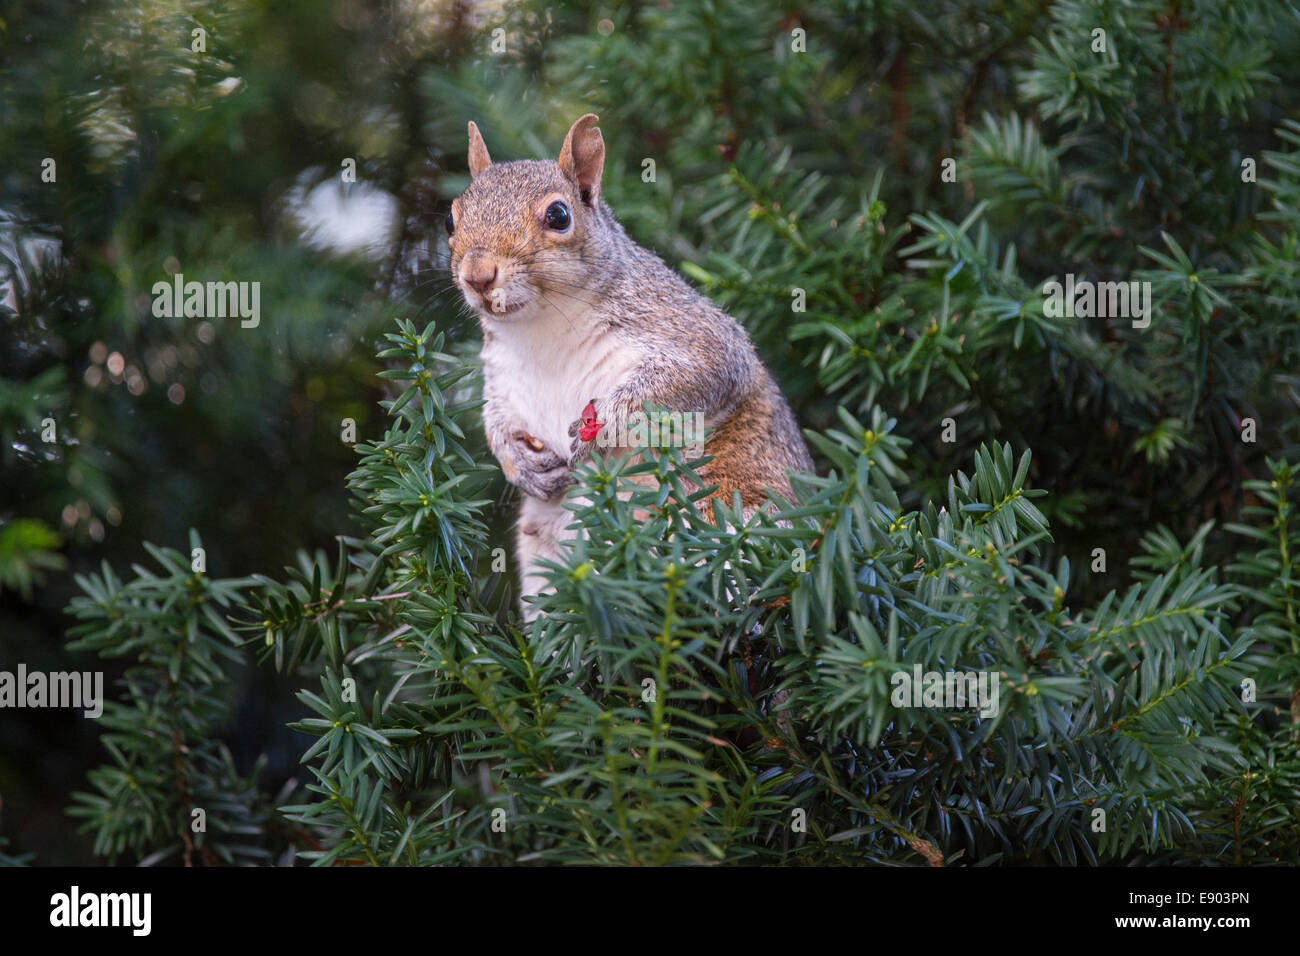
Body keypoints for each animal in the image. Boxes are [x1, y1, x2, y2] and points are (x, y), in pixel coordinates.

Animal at [447, 113, 811, 621]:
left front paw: (612, 416)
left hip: (737, 497)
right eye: (451, 218)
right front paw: (518, 462)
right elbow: (495, 422)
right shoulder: (503, 377)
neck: (542, 330)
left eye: (558, 215)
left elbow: (695, 376)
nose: (477, 275)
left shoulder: (690, 333)